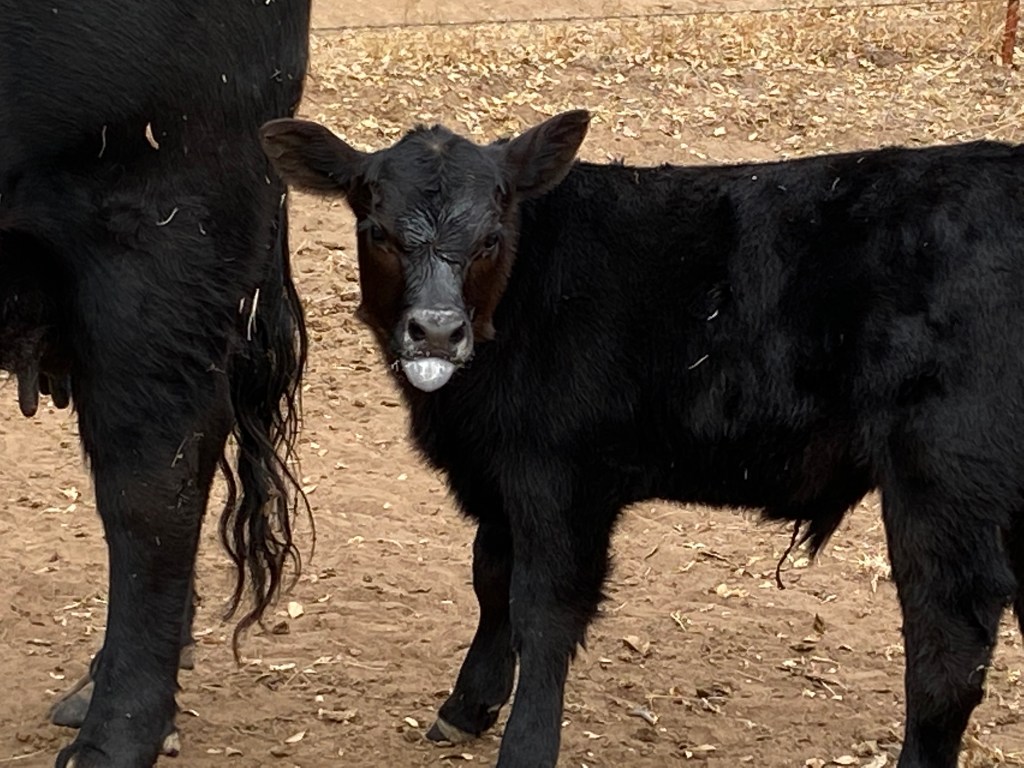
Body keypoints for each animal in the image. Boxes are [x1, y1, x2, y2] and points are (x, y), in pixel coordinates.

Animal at [261, 109, 1024, 768]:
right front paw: (467, 706)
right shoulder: (501, 477)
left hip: (943, 479)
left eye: (490, 237)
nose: (438, 331)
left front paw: (525, 743)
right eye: (378, 231)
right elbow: (491, 580)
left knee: (948, 647)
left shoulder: (560, 481)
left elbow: (544, 611)